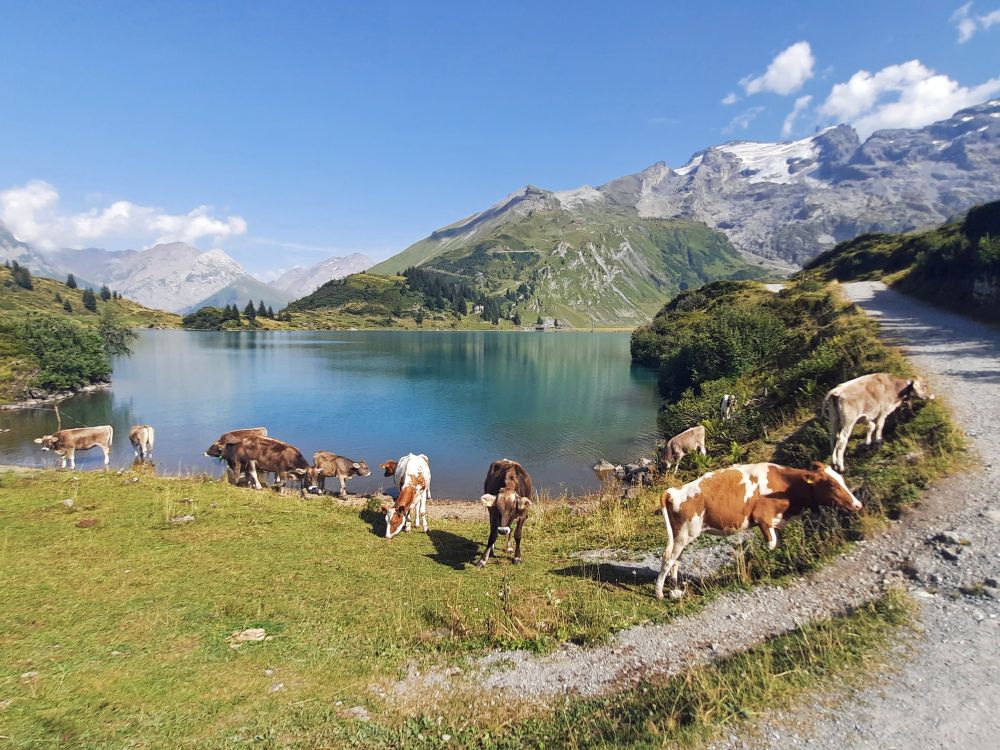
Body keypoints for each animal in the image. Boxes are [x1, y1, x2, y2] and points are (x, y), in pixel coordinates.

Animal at [656, 462, 860, 604]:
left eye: (841, 480)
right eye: (832, 485)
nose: (857, 504)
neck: (786, 487)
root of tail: (673, 491)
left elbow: (777, 543)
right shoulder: (763, 518)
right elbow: (770, 544)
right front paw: (749, 561)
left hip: (683, 536)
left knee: (676, 560)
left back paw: (675, 588)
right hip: (684, 534)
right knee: (668, 558)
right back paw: (659, 593)